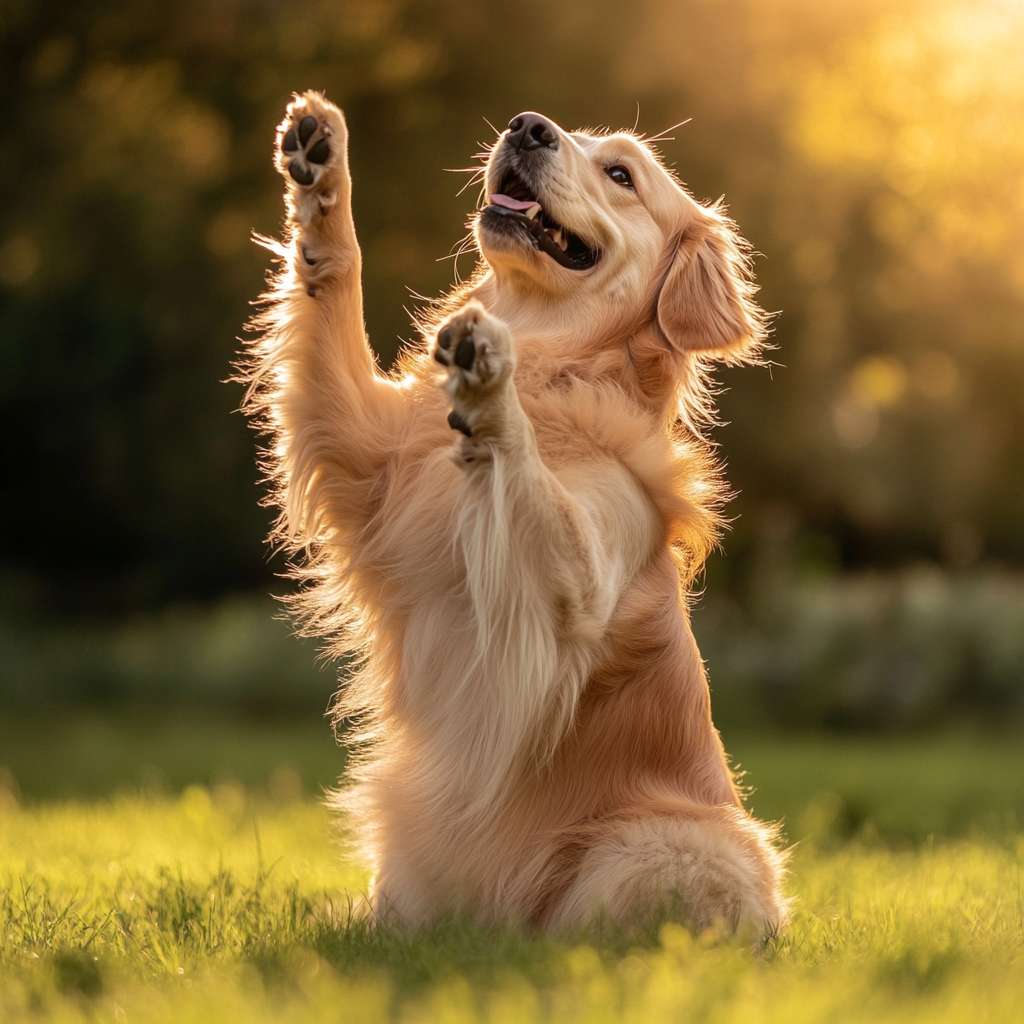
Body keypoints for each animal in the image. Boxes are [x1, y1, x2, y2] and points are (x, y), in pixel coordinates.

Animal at [243, 92, 786, 937]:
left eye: (622, 174)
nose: (527, 127)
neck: (555, 359)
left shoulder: (581, 586)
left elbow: (529, 481)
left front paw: (489, 384)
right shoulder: (361, 448)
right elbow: (336, 283)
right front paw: (320, 173)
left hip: (670, 844)